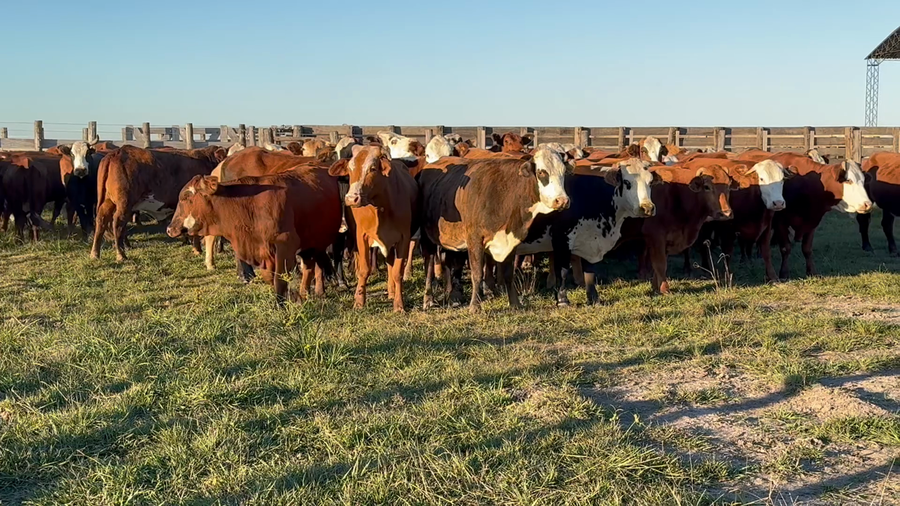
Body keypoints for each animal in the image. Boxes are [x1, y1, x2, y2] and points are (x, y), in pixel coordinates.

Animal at [91, 145, 227, 261]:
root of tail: (116, 153)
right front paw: (203, 248)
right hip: (124, 204)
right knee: (118, 224)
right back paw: (121, 254)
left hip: (107, 202)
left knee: (101, 221)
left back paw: (95, 253)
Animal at [167, 168, 341, 304]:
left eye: (186, 197)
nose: (169, 229)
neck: (249, 205)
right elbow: (269, 276)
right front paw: (293, 296)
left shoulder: (285, 245)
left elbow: (280, 278)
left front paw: (282, 303)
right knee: (309, 267)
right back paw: (304, 293)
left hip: (316, 243)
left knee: (312, 267)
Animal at [327, 146, 419, 312]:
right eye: (350, 169)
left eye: (372, 168)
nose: (352, 198)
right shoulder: (361, 236)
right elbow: (364, 269)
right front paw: (359, 301)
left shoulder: (403, 238)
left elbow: (397, 272)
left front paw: (399, 304)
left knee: (391, 265)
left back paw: (392, 292)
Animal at [418, 147, 571, 311]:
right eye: (542, 172)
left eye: (563, 172)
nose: (562, 201)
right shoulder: (474, 240)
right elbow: (477, 273)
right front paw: (474, 306)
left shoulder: (511, 240)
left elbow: (509, 273)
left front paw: (515, 303)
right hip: (427, 239)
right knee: (429, 266)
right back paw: (429, 299)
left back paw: (452, 295)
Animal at [517, 158, 660, 306]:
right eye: (627, 182)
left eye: (650, 182)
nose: (647, 208)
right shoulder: (562, 238)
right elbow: (563, 270)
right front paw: (562, 299)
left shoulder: (590, 240)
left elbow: (590, 271)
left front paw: (594, 298)